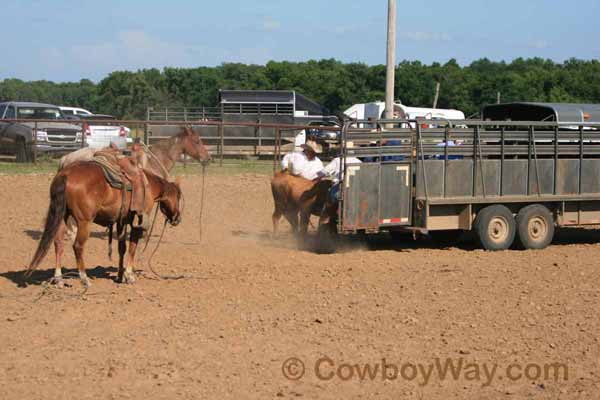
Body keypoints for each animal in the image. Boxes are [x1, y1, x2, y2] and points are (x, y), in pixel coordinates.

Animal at [27, 161, 183, 286]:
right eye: (179, 196)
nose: (178, 219)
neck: (148, 186)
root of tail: (65, 174)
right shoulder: (136, 223)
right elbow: (132, 247)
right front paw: (129, 276)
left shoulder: (121, 221)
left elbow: (122, 248)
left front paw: (120, 276)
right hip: (84, 222)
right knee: (78, 246)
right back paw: (84, 278)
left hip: (62, 218)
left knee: (58, 244)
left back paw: (59, 279)